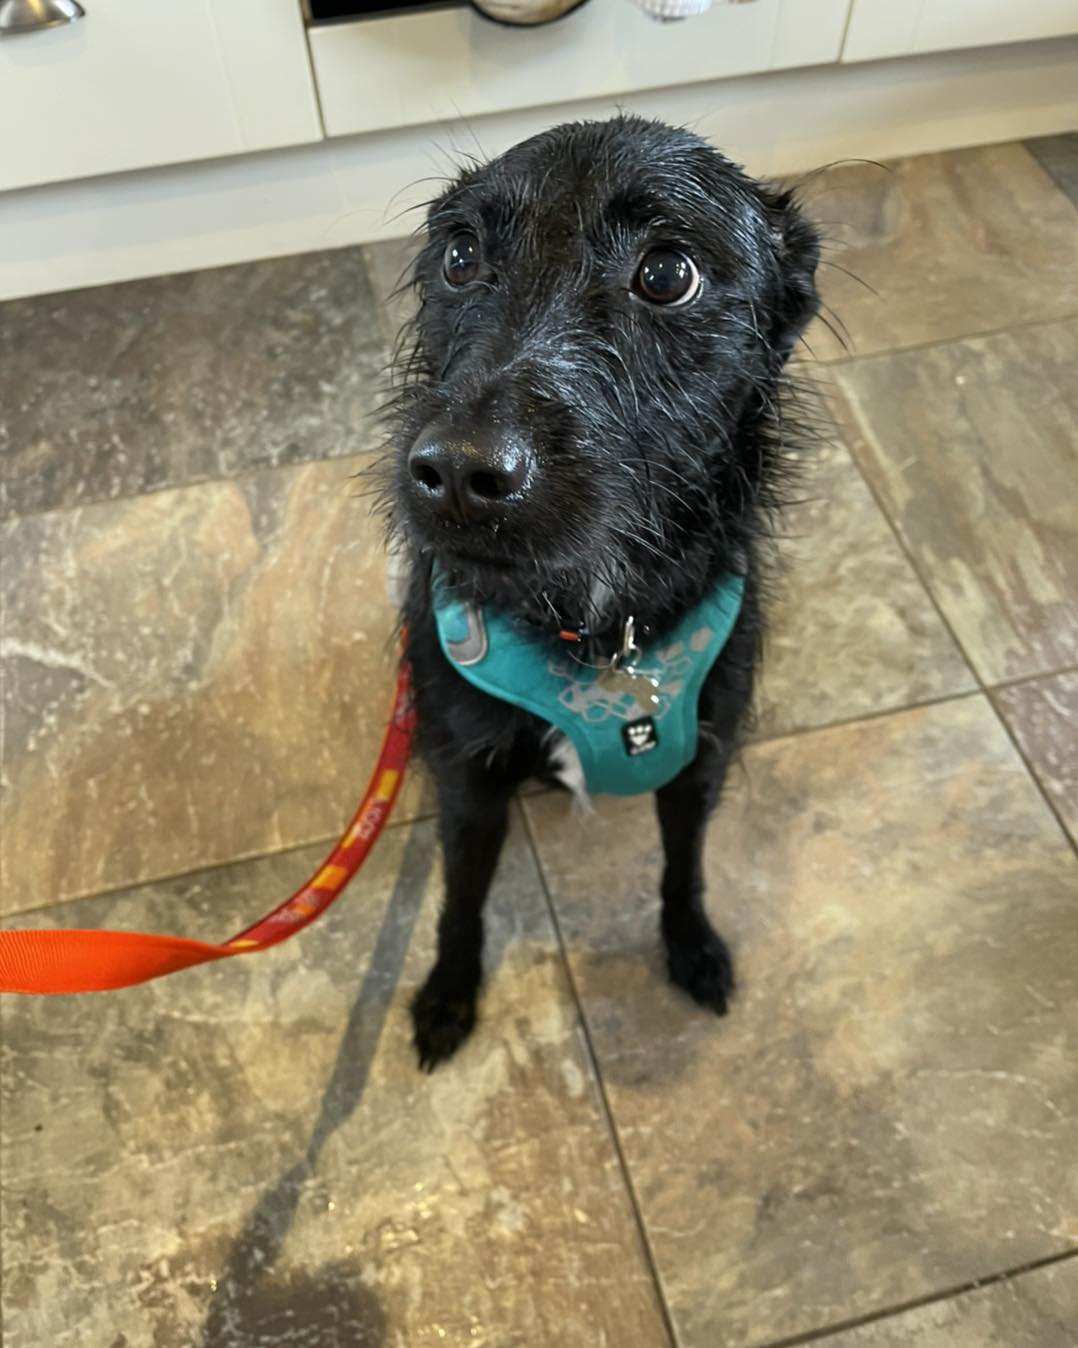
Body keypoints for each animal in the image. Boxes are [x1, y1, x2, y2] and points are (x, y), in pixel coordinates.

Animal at [382, 115, 819, 1067]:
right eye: (460, 256)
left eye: (666, 274)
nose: (457, 472)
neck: (594, 630)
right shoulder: (469, 783)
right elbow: (461, 899)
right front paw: (448, 993)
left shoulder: (702, 763)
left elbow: (685, 868)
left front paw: (692, 948)